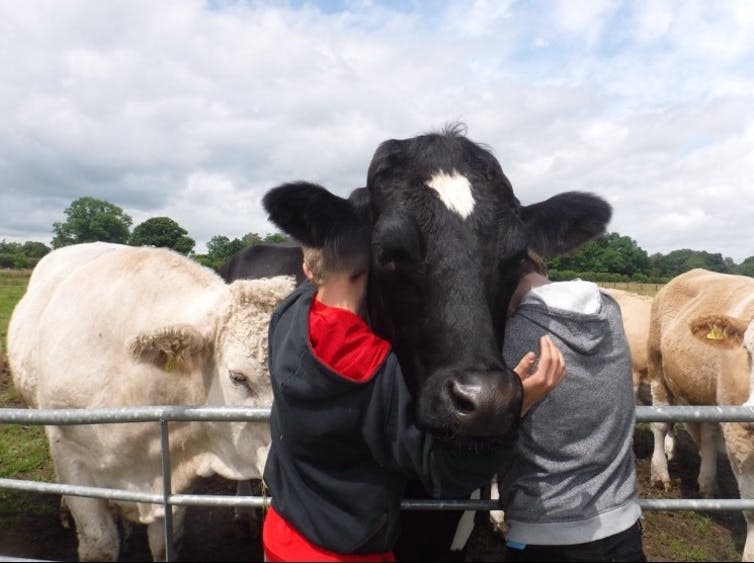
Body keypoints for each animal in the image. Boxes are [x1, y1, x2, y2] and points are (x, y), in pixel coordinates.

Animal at [644, 270, 752, 560]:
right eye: (748, 351)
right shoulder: (740, 434)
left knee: (707, 434)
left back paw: (707, 483)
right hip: (657, 369)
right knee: (660, 425)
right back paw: (660, 473)